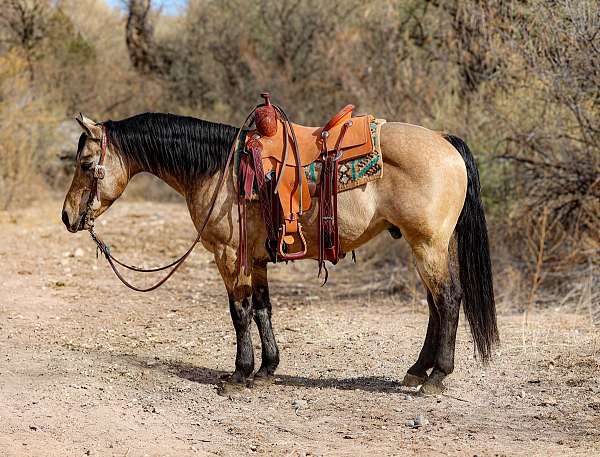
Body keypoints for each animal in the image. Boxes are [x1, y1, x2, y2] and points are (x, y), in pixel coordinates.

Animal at [62, 105, 496, 394]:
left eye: (84, 164)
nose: (67, 216)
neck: (217, 169)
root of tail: (446, 143)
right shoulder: (255, 258)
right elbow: (262, 309)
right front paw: (267, 370)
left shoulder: (228, 255)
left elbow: (239, 313)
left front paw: (239, 375)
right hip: (427, 246)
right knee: (435, 306)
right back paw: (417, 371)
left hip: (428, 245)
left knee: (449, 299)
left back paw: (436, 377)